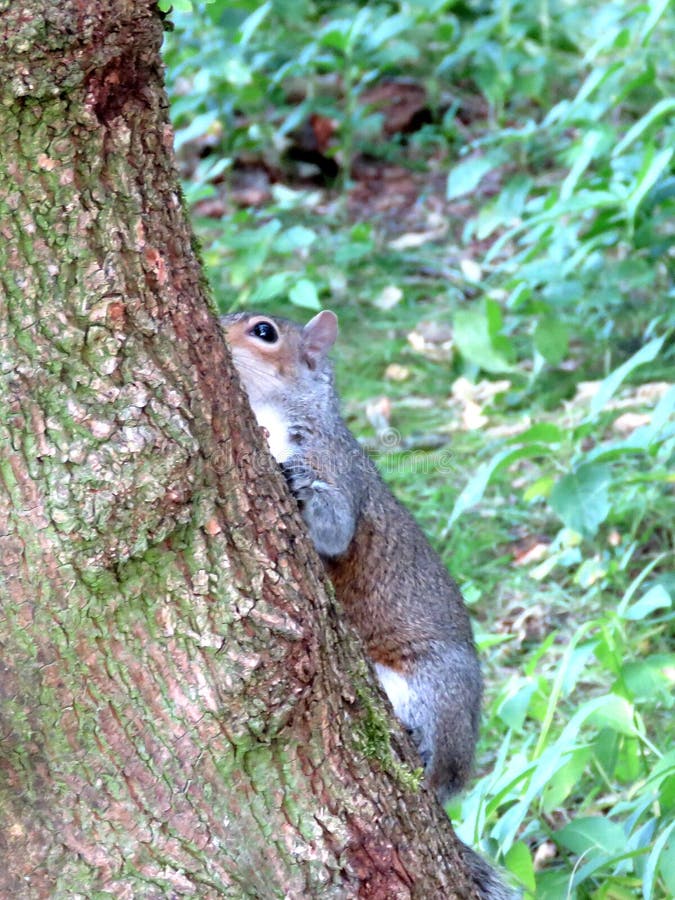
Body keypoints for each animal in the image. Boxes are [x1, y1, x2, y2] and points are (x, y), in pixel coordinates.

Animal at [223, 309, 484, 802]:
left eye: (264, 331)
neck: (276, 411)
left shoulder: (333, 462)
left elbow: (337, 527)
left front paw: (301, 485)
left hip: (437, 683)